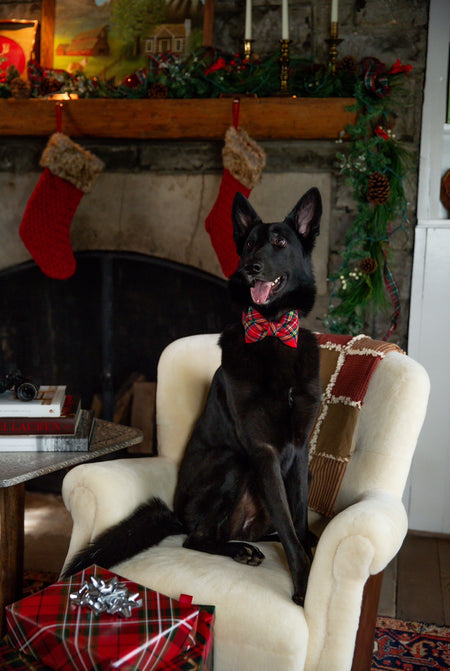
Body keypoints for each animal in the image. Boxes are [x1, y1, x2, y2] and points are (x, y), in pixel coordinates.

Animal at [64, 188, 324, 608]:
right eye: (248, 244)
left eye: (280, 242)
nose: (249, 268)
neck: (271, 333)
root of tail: (177, 515)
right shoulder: (263, 451)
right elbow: (288, 525)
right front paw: (303, 583)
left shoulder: (300, 452)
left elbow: (296, 520)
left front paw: (311, 563)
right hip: (233, 463)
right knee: (196, 539)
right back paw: (237, 549)